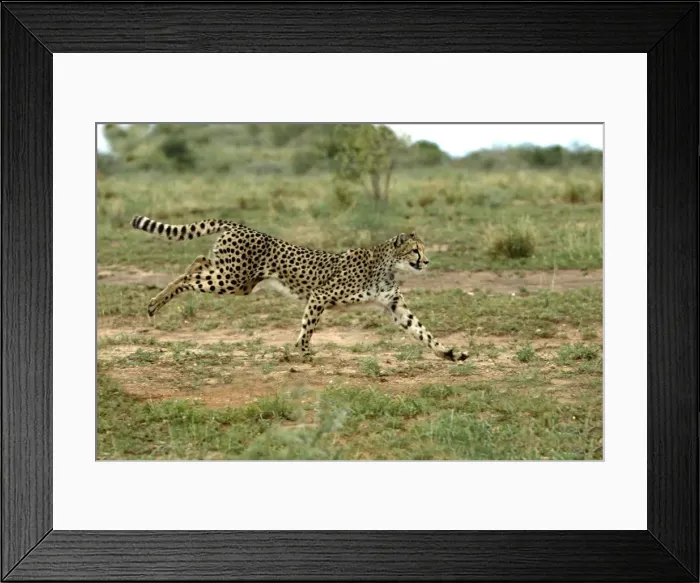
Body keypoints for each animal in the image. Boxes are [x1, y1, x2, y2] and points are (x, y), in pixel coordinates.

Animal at [131, 215, 469, 362]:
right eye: (415, 250)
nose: (427, 260)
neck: (388, 264)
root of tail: (240, 225)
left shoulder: (394, 306)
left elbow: (422, 331)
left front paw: (449, 352)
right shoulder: (321, 295)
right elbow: (308, 326)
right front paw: (304, 350)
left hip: (238, 282)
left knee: (199, 261)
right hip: (232, 279)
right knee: (189, 277)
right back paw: (153, 304)